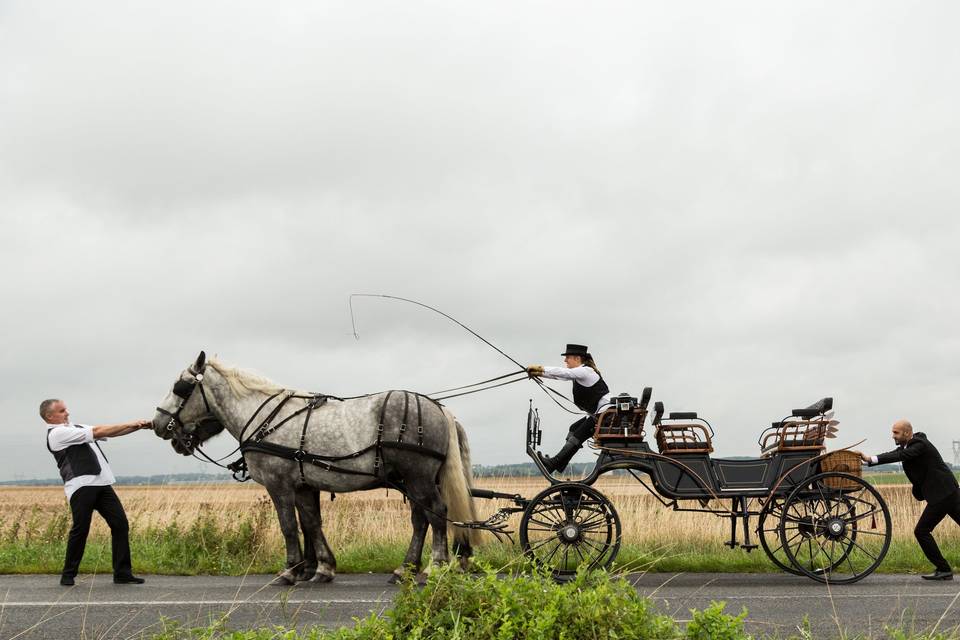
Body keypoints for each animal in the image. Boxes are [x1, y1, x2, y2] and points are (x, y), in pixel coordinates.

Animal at [152, 352, 480, 588]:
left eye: (180, 388)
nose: (157, 424)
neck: (265, 418)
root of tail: (441, 409)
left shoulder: (279, 484)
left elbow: (288, 526)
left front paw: (289, 571)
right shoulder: (303, 485)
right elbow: (311, 523)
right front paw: (322, 568)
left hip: (418, 477)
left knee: (436, 514)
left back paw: (435, 567)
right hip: (413, 480)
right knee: (420, 519)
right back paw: (405, 569)